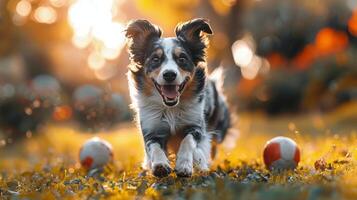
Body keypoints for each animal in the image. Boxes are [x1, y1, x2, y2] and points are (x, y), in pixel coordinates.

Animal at [125, 18, 229, 177]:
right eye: (155, 59)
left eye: (182, 58)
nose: (169, 74)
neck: (171, 109)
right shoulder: (151, 128)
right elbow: (154, 147)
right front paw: (160, 165)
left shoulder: (195, 125)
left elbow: (188, 141)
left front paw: (184, 165)